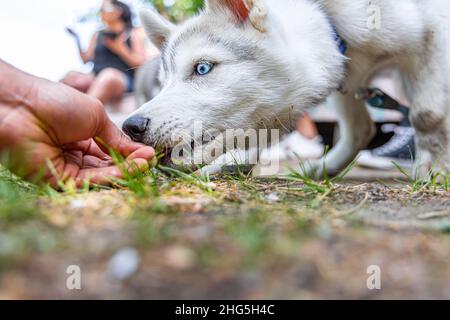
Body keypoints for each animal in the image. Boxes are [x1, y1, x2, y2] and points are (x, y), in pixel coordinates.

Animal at [123, 0, 450, 176]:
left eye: (202, 68)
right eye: (163, 82)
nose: (131, 126)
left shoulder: (433, 34)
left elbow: (426, 115)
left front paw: (434, 169)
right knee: (362, 128)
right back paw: (321, 170)